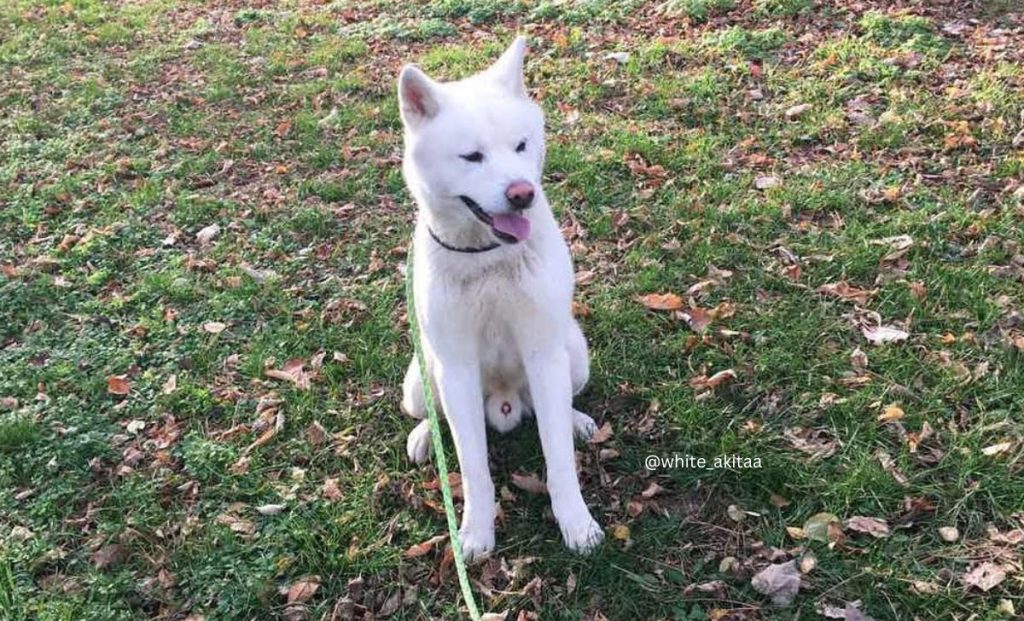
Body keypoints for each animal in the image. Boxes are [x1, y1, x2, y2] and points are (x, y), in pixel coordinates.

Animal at [395, 38, 602, 565]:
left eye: (521, 146)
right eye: (472, 156)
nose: (522, 193)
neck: (488, 258)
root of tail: (505, 403)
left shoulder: (544, 354)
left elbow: (558, 459)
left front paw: (576, 524)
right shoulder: (457, 368)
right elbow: (473, 469)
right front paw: (474, 532)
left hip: (574, 353)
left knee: (560, 402)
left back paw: (576, 420)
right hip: (421, 375)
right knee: (432, 413)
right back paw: (425, 436)